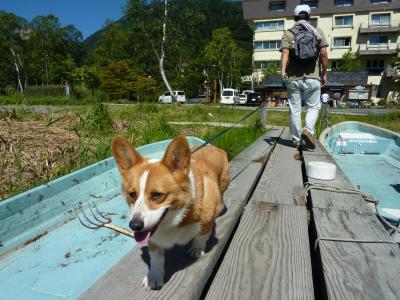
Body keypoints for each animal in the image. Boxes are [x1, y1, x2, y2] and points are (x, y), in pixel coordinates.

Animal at [111, 137, 230, 290]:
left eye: (157, 195)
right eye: (132, 194)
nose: (134, 225)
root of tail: (213, 146)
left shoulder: (205, 221)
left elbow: (200, 237)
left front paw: (197, 250)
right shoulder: (153, 237)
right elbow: (156, 258)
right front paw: (153, 276)